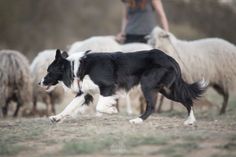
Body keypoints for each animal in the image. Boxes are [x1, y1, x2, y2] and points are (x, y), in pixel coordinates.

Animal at [40, 49, 206, 124]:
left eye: (49, 71)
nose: (39, 82)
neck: (77, 67)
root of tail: (169, 58)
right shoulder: (84, 93)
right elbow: (69, 107)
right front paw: (56, 117)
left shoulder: (107, 87)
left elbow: (100, 106)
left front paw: (112, 110)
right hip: (167, 89)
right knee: (187, 100)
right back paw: (190, 120)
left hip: (147, 84)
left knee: (152, 106)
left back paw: (138, 120)